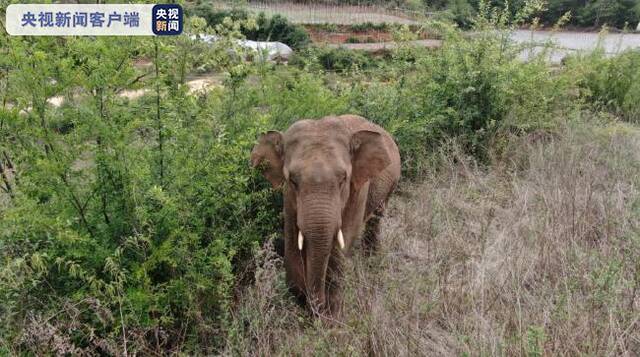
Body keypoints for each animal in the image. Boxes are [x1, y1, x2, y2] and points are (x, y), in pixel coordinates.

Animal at [250, 113, 400, 314]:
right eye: (292, 181)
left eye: (343, 179)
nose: (316, 308)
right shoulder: (288, 198)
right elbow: (293, 241)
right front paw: (302, 300)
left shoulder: (357, 189)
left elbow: (342, 240)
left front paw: (331, 309)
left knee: (376, 218)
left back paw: (371, 259)